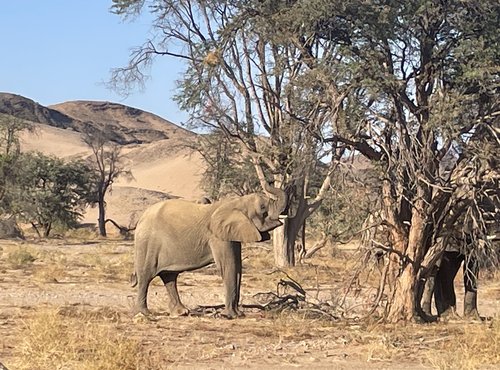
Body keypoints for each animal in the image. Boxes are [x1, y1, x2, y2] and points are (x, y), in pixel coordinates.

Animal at [132, 186, 290, 320]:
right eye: (263, 208)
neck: (235, 203)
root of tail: (141, 219)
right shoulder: (217, 236)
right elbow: (229, 266)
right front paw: (230, 316)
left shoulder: (231, 234)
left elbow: (238, 267)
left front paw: (239, 314)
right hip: (147, 244)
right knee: (145, 277)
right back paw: (144, 313)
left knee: (169, 276)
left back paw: (181, 313)